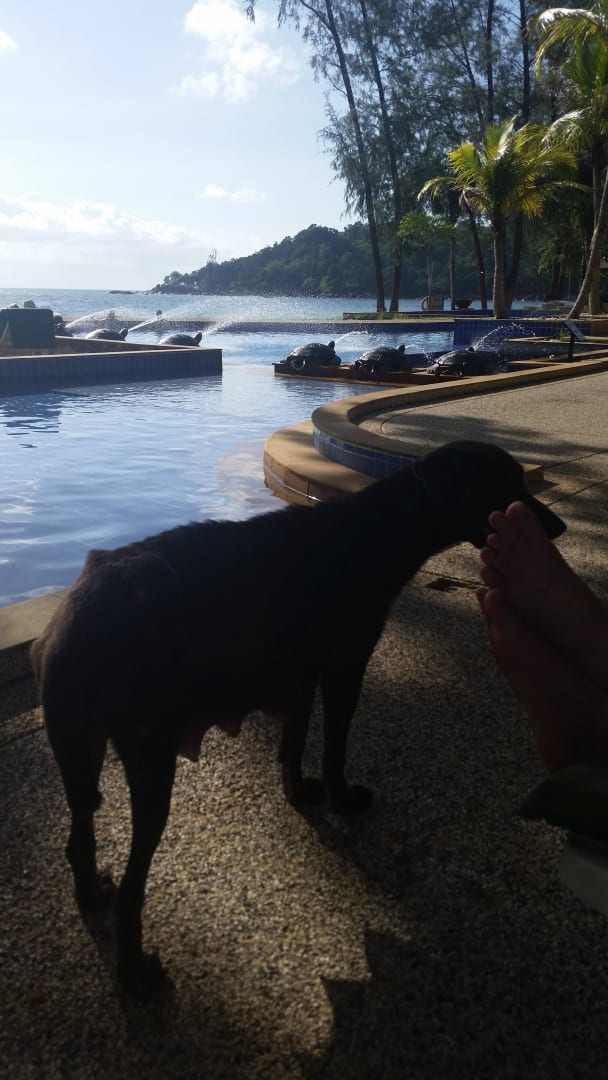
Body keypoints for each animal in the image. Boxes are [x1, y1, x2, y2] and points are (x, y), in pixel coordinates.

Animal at [31, 440, 565, 995]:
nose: (557, 527)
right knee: (133, 886)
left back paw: (93, 895)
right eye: (502, 484)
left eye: (520, 480)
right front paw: (341, 799)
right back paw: (136, 974)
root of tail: (70, 624)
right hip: (149, 758)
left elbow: (293, 743)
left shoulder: (301, 677)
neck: (379, 529)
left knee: (78, 839)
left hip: (80, 750)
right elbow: (333, 747)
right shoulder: (345, 668)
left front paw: (298, 793)